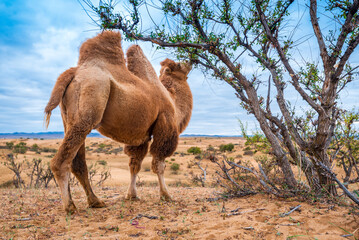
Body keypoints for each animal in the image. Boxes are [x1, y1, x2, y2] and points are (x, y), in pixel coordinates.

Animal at [45, 30, 194, 214]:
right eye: (179, 64)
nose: (190, 59)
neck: (172, 99)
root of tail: (73, 73)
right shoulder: (165, 124)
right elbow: (159, 163)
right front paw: (166, 195)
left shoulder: (141, 135)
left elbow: (135, 164)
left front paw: (131, 195)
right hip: (90, 104)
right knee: (60, 162)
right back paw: (70, 206)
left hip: (69, 118)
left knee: (78, 163)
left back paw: (95, 201)